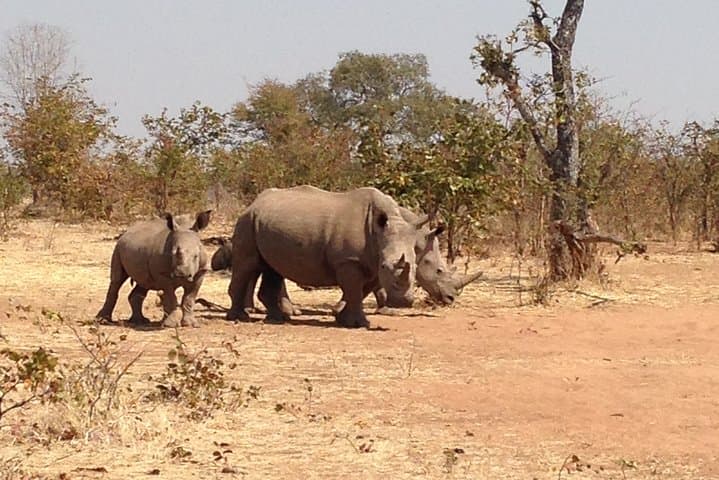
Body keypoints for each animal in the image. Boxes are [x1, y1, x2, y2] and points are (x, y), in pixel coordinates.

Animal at [225, 185, 421, 328]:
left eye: (415, 267)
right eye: (385, 266)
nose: (404, 302)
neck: (379, 233)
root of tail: (253, 204)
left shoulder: (370, 262)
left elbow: (361, 291)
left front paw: (342, 319)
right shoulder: (349, 261)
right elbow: (355, 291)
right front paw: (360, 324)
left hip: (266, 224)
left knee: (272, 269)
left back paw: (278, 319)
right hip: (247, 221)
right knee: (247, 264)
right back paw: (239, 318)